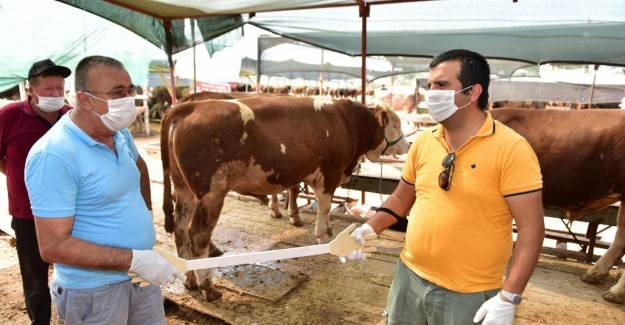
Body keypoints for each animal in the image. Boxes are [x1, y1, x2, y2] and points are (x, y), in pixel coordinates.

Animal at [158, 95, 408, 298]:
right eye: (396, 124)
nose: (407, 145)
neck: (347, 122)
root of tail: (189, 106)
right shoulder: (330, 171)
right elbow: (324, 205)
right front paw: (322, 236)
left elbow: (325, 206)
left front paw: (328, 228)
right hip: (211, 192)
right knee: (198, 235)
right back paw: (208, 288)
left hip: (184, 189)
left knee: (180, 230)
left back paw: (190, 281)